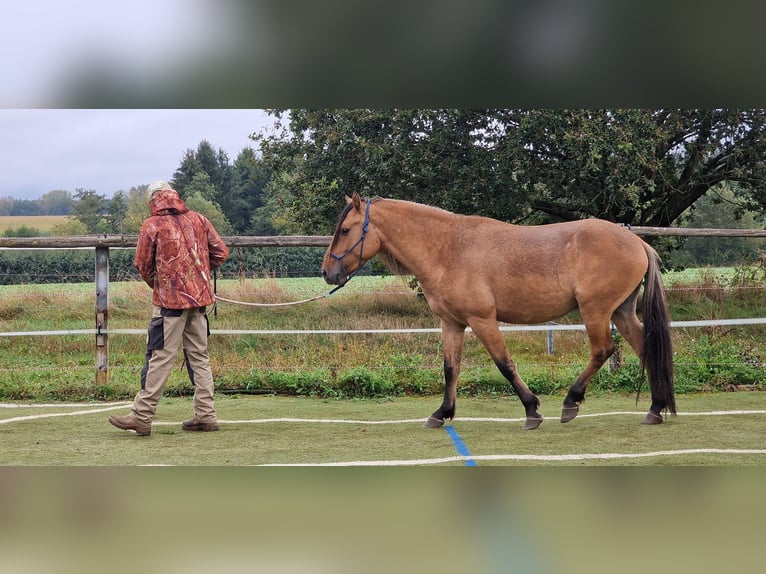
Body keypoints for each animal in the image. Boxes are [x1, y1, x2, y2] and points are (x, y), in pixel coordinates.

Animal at [320, 195, 676, 432]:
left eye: (346, 230)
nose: (326, 272)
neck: (448, 249)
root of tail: (636, 242)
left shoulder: (482, 320)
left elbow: (504, 364)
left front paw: (532, 410)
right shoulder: (452, 323)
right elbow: (451, 369)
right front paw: (441, 413)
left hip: (596, 311)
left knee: (603, 350)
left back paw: (571, 402)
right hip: (621, 313)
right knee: (645, 348)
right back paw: (655, 408)